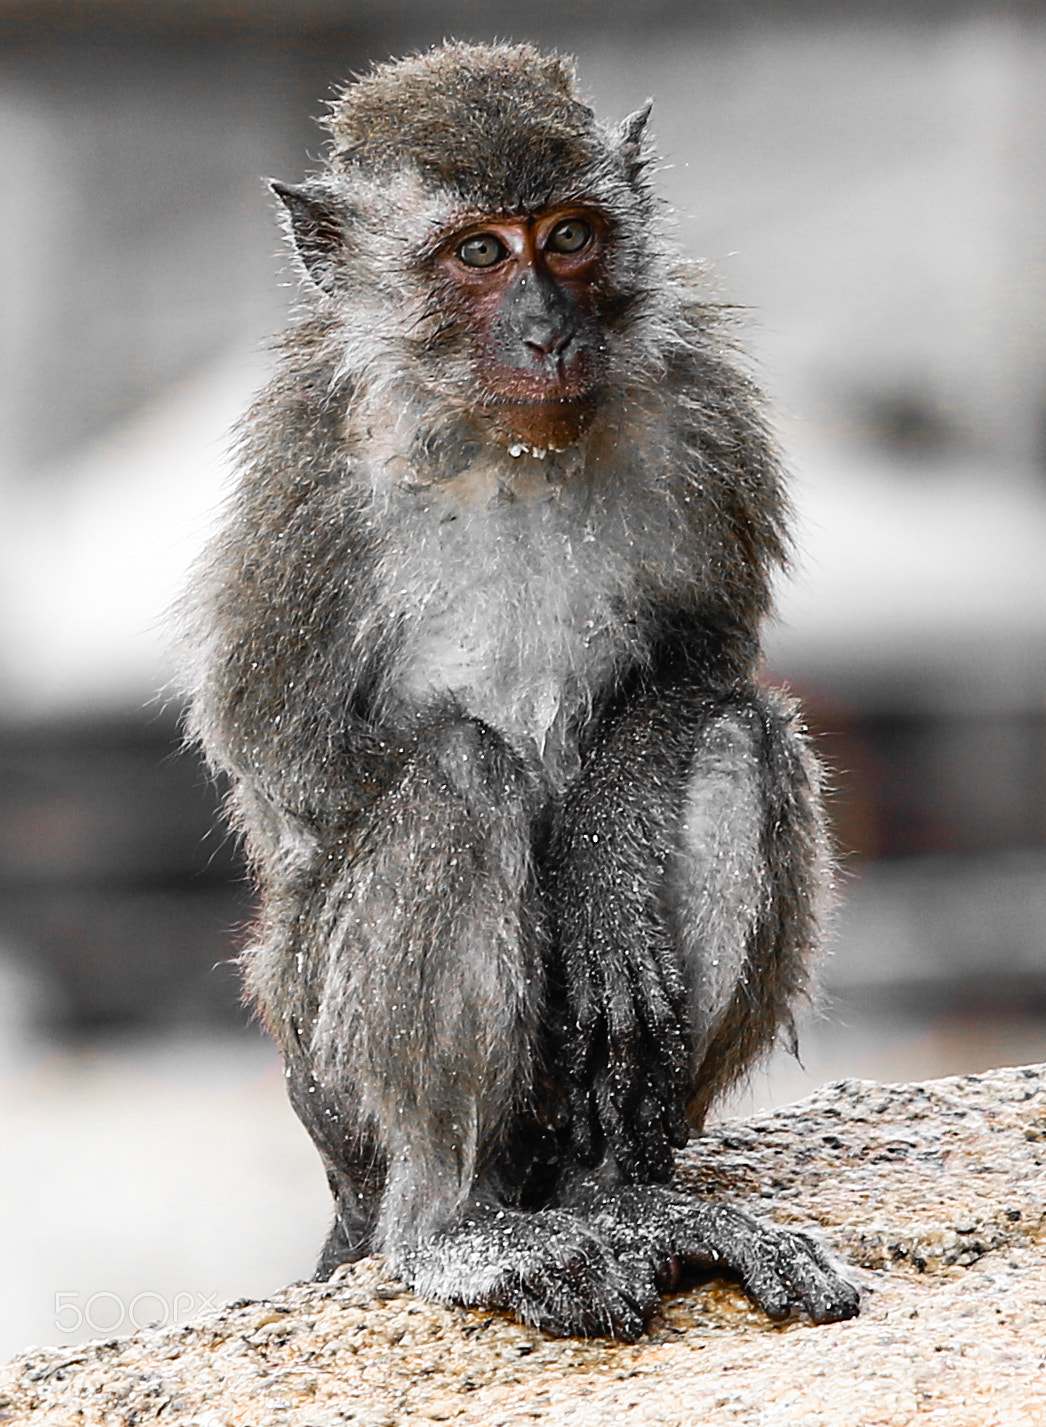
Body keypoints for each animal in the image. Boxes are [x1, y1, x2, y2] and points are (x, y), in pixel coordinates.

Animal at [179, 41, 860, 1340]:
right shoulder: (305, 465)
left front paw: (596, 861)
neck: (501, 440)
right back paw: (454, 1227)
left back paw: (619, 1196)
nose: (547, 332)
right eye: (478, 253)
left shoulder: (703, 403)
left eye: (570, 236)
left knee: (739, 737)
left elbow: (702, 663)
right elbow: (278, 743)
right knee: (459, 769)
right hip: (325, 1079)